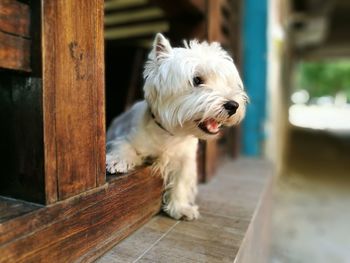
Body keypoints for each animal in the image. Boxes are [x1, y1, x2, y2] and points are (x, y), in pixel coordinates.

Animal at [106, 34, 246, 222]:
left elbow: (181, 181)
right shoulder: (127, 135)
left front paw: (180, 208)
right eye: (197, 80)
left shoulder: (185, 159)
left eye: (226, 82)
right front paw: (117, 160)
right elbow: (124, 145)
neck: (170, 133)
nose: (233, 105)